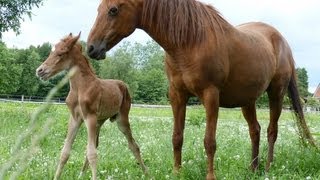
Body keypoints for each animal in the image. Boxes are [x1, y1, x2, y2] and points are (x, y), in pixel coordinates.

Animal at [36, 33, 146, 179]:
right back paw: (81, 175)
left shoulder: (90, 117)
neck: (80, 88)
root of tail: (123, 85)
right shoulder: (75, 119)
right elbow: (65, 152)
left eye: (61, 53)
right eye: (51, 52)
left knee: (133, 145)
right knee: (96, 144)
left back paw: (147, 173)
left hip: (121, 119)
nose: (40, 71)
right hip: (99, 121)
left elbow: (92, 154)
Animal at [86, 0, 316, 179]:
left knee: (271, 131)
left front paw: (210, 176)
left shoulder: (210, 95)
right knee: (255, 130)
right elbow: (177, 137)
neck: (190, 41)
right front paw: (177, 173)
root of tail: (281, 40)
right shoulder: (177, 95)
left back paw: (267, 169)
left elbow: (209, 141)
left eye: (113, 10)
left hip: (276, 93)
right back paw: (252, 169)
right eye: (98, 9)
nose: (91, 48)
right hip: (247, 101)